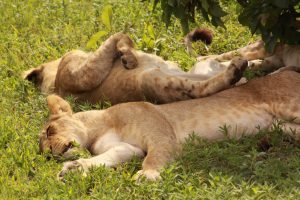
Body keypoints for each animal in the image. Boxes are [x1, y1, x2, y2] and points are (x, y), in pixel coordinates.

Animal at [23, 32, 247, 104]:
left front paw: (127, 55)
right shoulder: (82, 73)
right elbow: (120, 35)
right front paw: (128, 58)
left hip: (200, 67)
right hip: (153, 81)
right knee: (201, 88)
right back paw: (236, 70)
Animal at [38, 68, 300, 180]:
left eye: (50, 130)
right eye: (42, 153)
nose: (50, 153)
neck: (98, 128)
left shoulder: (160, 134)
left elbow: (154, 157)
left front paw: (148, 175)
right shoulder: (128, 148)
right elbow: (108, 157)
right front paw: (75, 168)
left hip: (289, 106)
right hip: (282, 126)